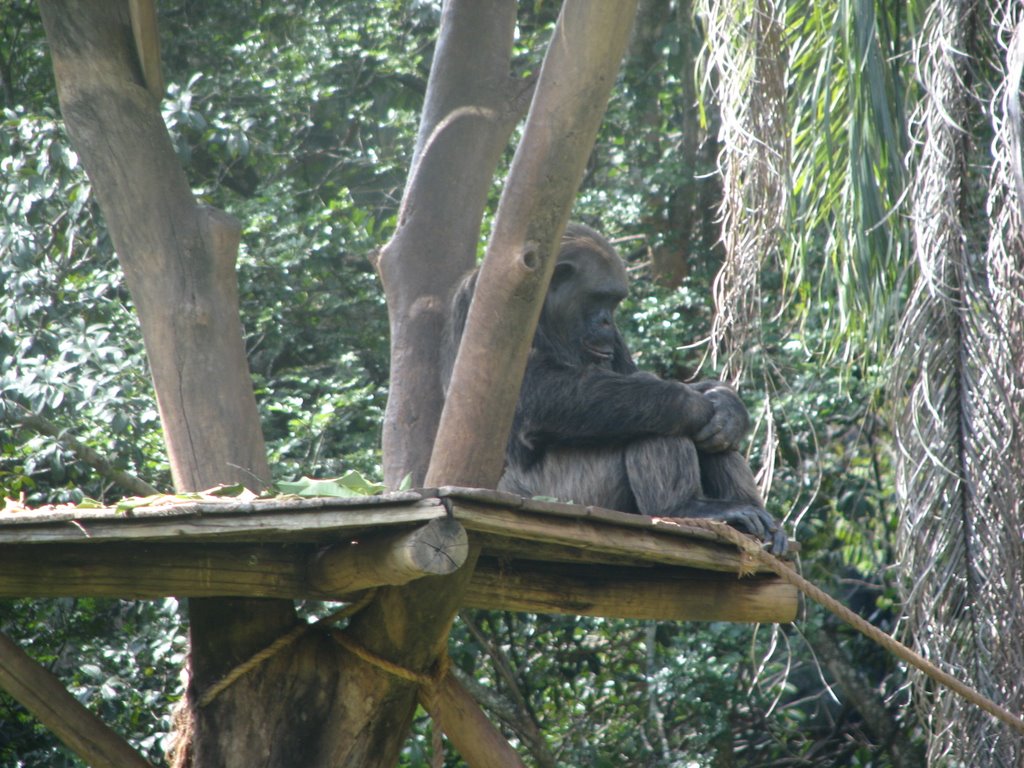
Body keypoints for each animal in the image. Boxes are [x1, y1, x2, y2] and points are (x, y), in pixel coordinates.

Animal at [444, 222, 786, 552]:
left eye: (615, 301)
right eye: (599, 296)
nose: (607, 320)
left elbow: (630, 373)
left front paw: (728, 407)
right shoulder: (494, 299)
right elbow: (537, 393)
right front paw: (695, 404)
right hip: (568, 492)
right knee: (655, 414)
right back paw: (685, 505)